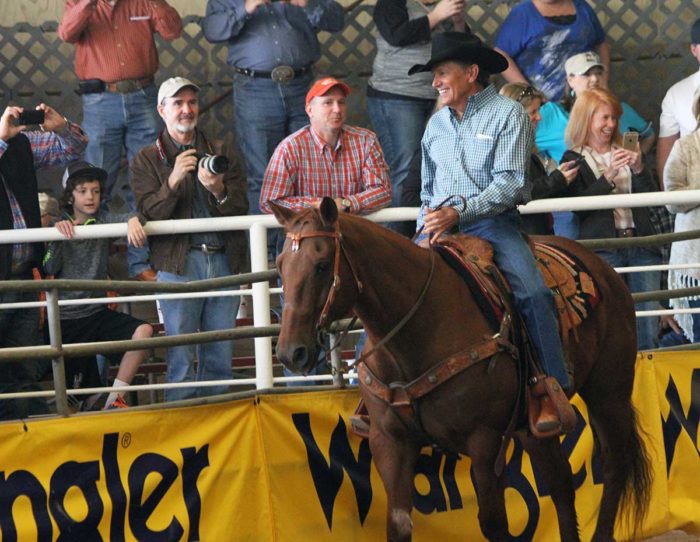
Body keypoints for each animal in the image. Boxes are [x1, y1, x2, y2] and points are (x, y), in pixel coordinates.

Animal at [272, 200, 652, 542]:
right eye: (280, 265)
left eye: (322, 265)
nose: (291, 352)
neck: (421, 328)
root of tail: (602, 267)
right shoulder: (389, 441)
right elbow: (399, 525)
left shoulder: (484, 441)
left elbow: (495, 525)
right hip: (533, 426)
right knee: (560, 484)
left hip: (609, 393)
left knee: (614, 465)